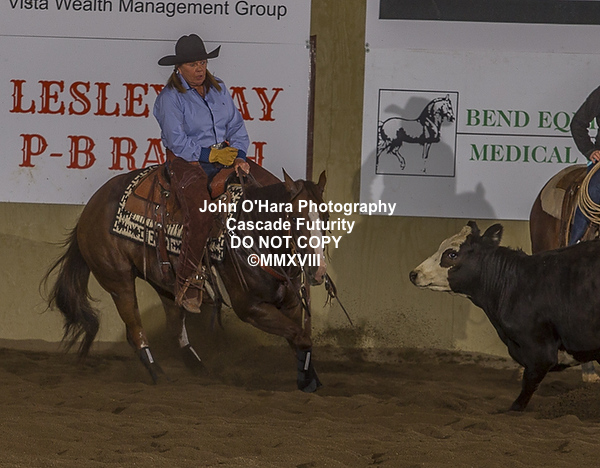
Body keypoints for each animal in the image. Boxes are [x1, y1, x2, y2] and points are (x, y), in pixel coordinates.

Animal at [43, 165, 329, 392]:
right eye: (295, 218)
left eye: (326, 216)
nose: (317, 272)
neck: (256, 236)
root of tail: (90, 207)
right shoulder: (251, 308)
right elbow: (301, 337)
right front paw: (308, 382)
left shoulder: (291, 304)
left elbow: (298, 338)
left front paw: (310, 378)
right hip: (117, 280)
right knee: (135, 329)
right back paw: (159, 374)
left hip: (166, 285)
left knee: (174, 328)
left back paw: (202, 372)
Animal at [409, 221, 600, 411]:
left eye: (452, 254)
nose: (414, 274)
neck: (516, 284)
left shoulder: (540, 350)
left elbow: (528, 385)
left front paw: (512, 408)